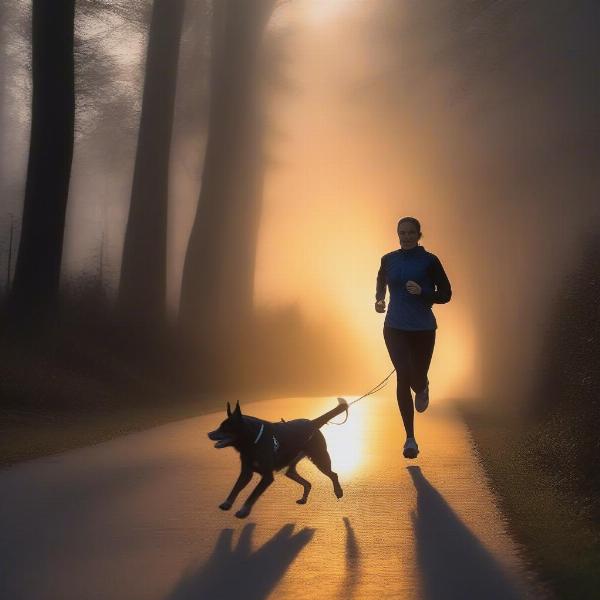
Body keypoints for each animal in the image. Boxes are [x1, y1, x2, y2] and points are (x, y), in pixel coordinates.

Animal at [207, 396, 350, 516]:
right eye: (220, 426)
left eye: (225, 428)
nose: (209, 434)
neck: (253, 441)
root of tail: (312, 423)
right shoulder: (246, 471)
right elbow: (236, 487)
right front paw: (227, 503)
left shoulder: (267, 477)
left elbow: (253, 495)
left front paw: (244, 510)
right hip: (291, 467)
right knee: (306, 482)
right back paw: (303, 498)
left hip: (320, 458)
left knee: (333, 474)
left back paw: (338, 491)